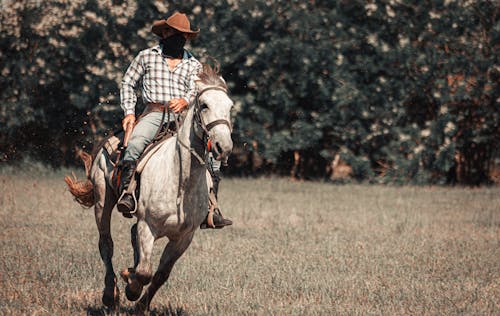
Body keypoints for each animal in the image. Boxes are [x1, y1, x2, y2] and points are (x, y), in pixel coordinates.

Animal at [66, 63, 234, 312]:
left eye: (230, 106)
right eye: (204, 105)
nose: (224, 147)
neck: (181, 183)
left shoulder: (184, 237)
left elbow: (161, 274)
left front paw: (140, 304)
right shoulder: (148, 226)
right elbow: (145, 272)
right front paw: (132, 290)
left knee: (130, 236)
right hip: (102, 202)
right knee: (106, 244)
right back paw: (110, 295)